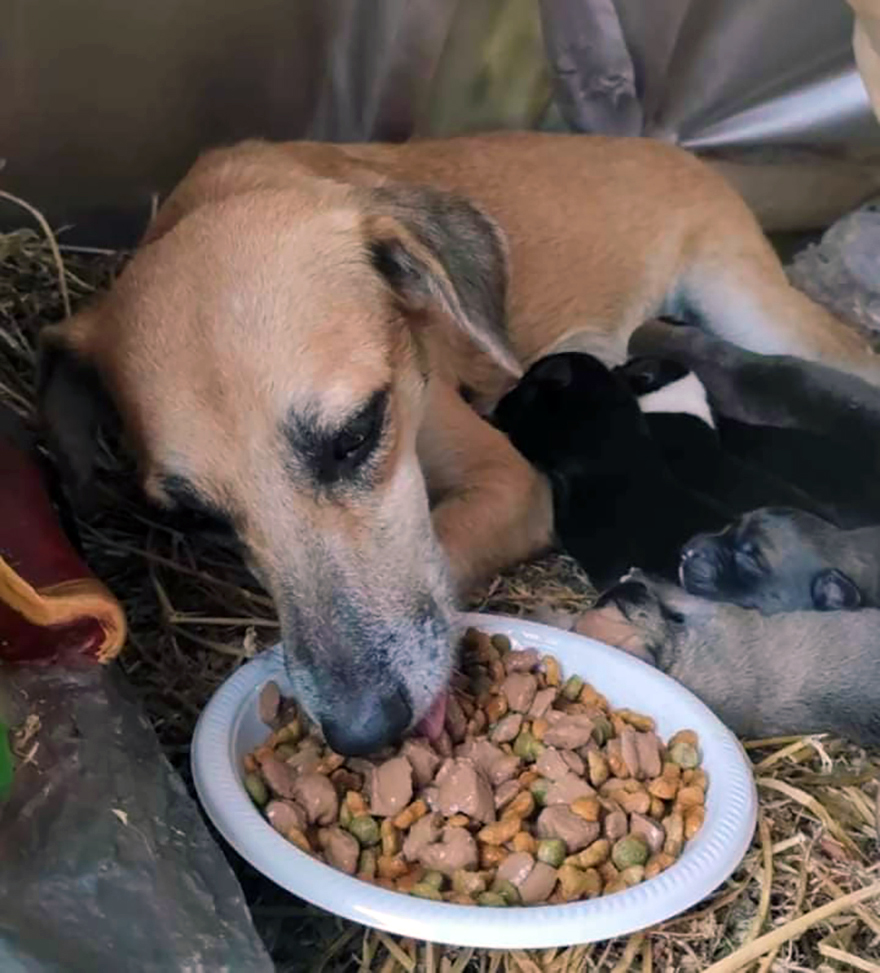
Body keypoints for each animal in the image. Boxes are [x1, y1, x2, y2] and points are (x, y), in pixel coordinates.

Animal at [576, 568, 880, 744]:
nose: (629, 588)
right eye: (614, 604)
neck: (675, 659)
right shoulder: (713, 614)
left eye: (604, 602)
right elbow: (680, 595)